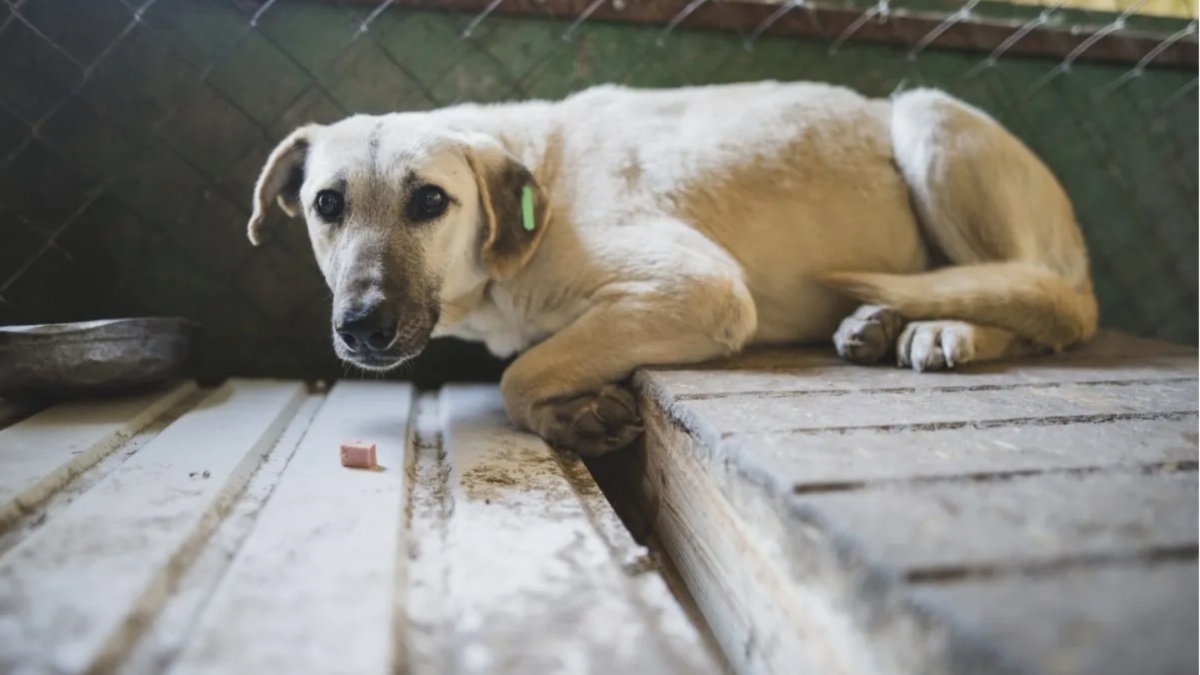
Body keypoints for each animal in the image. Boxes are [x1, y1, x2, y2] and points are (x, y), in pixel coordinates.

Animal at [248, 81, 1099, 454]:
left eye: (430, 200)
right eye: (327, 204)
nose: (362, 326)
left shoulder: (702, 290)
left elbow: (519, 376)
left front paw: (571, 414)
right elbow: (528, 367)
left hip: (926, 118)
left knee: (1046, 298)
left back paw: (947, 327)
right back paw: (880, 319)